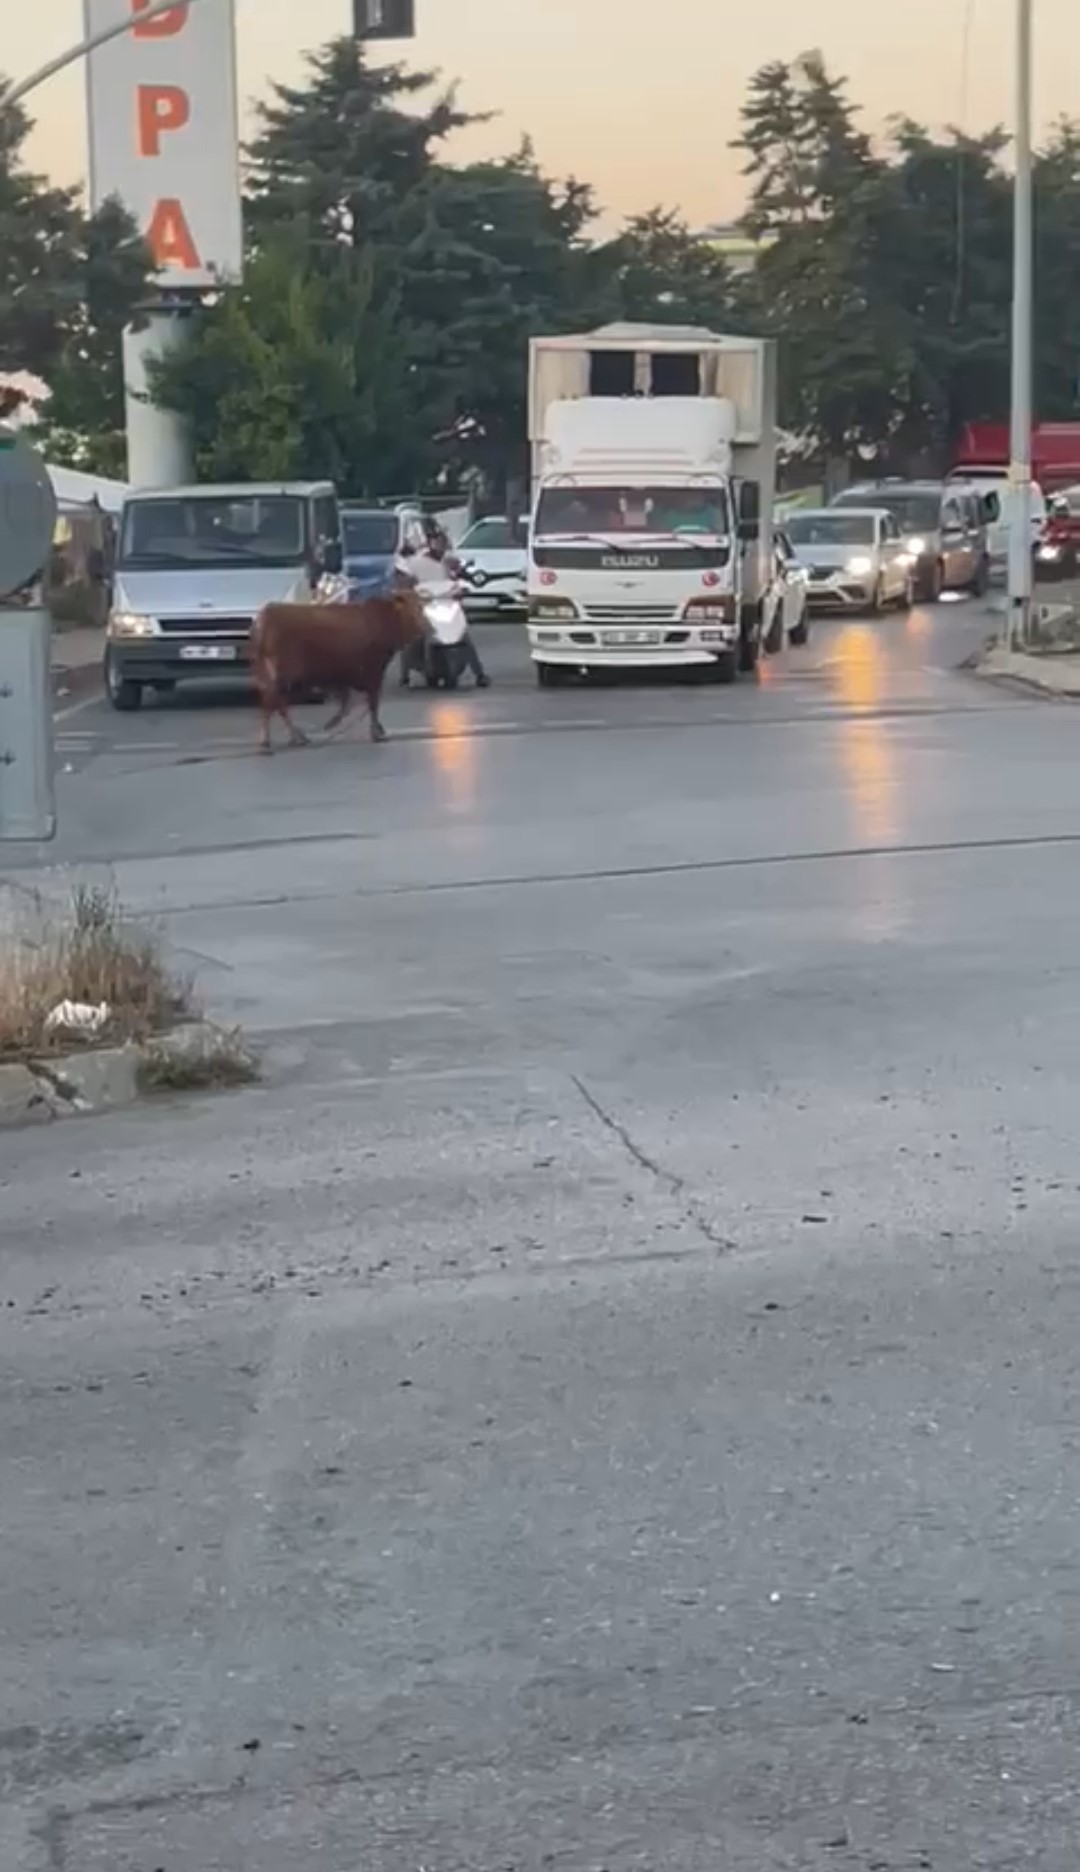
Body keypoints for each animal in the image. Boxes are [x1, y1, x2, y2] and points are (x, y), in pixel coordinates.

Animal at [250, 591, 423, 752]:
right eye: (411, 608)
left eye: (420, 606)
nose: (424, 627)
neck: (383, 618)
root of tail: (265, 616)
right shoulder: (373, 671)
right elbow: (372, 703)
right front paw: (376, 732)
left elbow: (352, 703)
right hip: (284, 674)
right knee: (272, 702)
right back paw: (270, 740)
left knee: (276, 702)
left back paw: (295, 737)